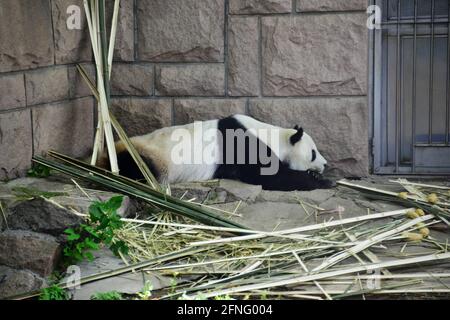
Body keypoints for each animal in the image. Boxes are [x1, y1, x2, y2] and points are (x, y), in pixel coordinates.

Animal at [101, 114, 334, 191]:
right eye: (313, 153)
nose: (325, 164)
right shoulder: (244, 147)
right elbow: (271, 178)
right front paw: (320, 180)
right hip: (146, 156)